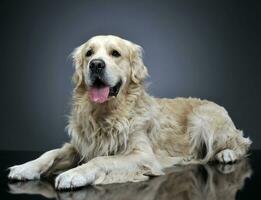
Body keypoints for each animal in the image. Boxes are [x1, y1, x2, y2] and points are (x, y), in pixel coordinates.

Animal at [8, 35, 251, 190]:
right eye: (89, 53)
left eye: (115, 53)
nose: (96, 64)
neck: (106, 113)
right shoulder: (80, 144)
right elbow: (49, 153)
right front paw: (25, 168)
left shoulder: (141, 154)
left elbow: (101, 160)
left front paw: (73, 174)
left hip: (202, 119)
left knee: (241, 143)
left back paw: (226, 154)